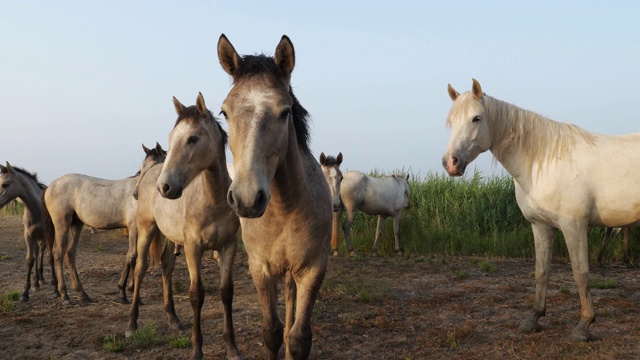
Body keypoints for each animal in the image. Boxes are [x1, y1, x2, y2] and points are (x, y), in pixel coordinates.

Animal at [0, 163, 53, 300]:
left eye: (5, 184)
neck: (37, 209)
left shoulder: (47, 234)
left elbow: (47, 256)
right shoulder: (28, 235)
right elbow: (30, 259)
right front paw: (25, 292)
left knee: (41, 252)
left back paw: (41, 278)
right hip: (36, 237)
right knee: (37, 252)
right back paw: (37, 281)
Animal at [42, 143, 166, 304]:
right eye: (142, 167)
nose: (136, 194)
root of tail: (51, 185)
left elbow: (132, 257)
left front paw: (128, 290)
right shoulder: (134, 228)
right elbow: (133, 256)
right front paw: (127, 293)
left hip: (76, 224)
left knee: (70, 253)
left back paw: (82, 293)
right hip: (61, 223)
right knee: (58, 253)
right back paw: (65, 295)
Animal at [127, 93, 242, 360]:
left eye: (192, 138)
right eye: (171, 139)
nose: (165, 187)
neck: (213, 201)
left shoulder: (228, 246)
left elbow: (226, 292)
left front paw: (232, 347)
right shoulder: (193, 248)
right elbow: (196, 294)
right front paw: (197, 348)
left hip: (169, 237)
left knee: (167, 267)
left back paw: (173, 319)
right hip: (147, 230)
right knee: (140, 269)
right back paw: (132, 324)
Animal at [219, 34, 332, 360]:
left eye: (285, 112)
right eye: (224, 112)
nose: (246, 198)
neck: (284, 209)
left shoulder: (313, 269)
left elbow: (299, 337)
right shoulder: (260, 269)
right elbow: (271, 332)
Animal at [442, 78, 640, 340]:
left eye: (476, 118)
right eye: (451, 121)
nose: (450, 163)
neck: (544, 163)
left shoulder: (574, 226)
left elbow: (581, 273)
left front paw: (584, 325)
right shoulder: (541, 226)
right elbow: (541, 272)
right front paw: (534, 317)